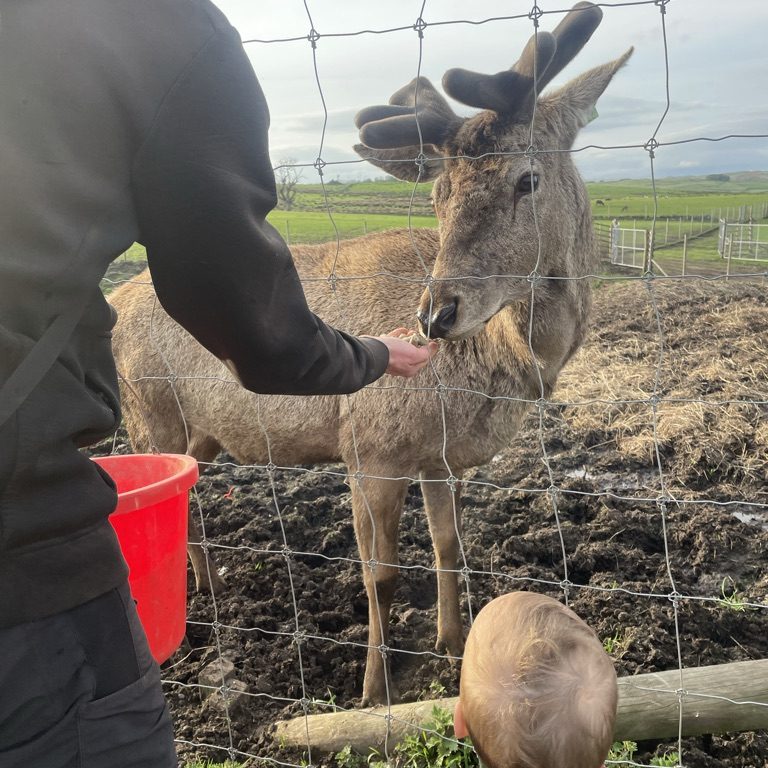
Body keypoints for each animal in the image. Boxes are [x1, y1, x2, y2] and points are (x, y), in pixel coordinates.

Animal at [109, 2, 631, 706]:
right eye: (438, 195)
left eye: (528, 177)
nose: (436, 313)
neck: (489, 375)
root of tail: (114, 304)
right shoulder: (370, 448)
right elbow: (380, 577)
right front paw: (374, 687)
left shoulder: (440, 459)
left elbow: (448, 548)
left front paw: (452, 646)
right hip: (148, 410)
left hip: (202, 431)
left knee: (186, 494)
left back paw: (211, 588)